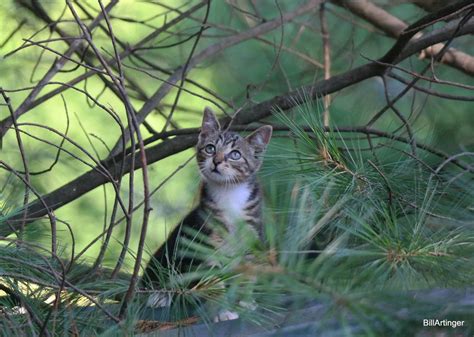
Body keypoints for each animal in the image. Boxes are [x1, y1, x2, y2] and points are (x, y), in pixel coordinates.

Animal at [143, 107, 272, 312]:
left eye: (235, 154)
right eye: (210, 148)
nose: (217, 161)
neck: (229, 193)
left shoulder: (252, 235)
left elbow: (248, 272)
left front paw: (245, 301)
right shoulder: (205, 240)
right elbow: (212, 277)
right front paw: (220, 308)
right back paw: (160, 295)